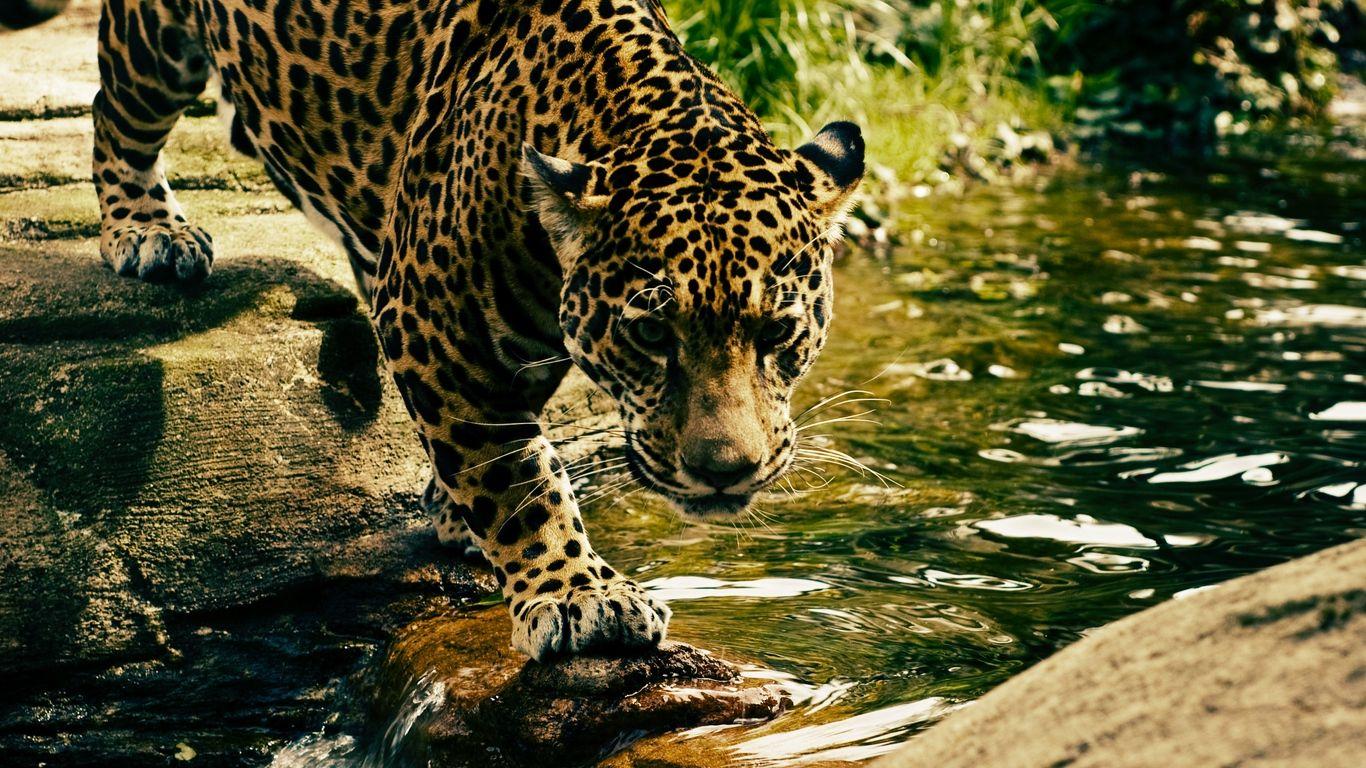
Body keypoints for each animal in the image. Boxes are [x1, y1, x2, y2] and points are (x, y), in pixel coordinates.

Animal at [53, 0, 865, 660]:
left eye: (778, 334)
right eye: (653, 337)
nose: (726, 471)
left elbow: (502, 439)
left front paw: (460, 514)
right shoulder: (435, 323)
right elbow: (516, 473)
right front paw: (579, 594)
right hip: (154, 44)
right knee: (114, 110)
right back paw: (148, 230)